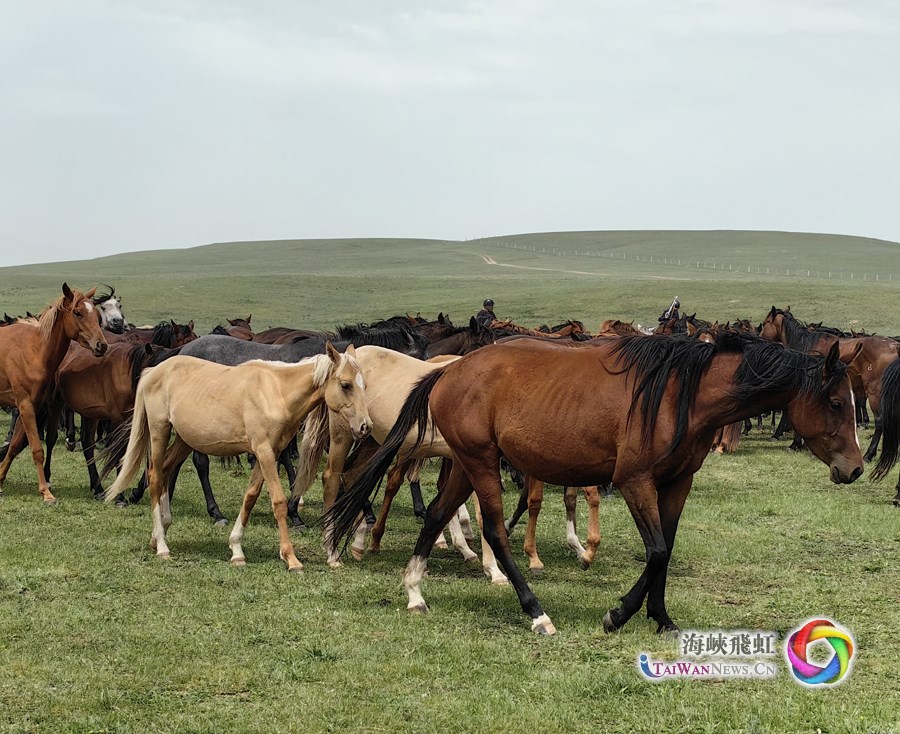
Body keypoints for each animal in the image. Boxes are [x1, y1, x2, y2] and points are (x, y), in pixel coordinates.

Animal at [0, 284, 108, 506]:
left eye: (97, 315)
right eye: (77, 312)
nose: (101, 345)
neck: (33, 350)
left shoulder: (33, 405)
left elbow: (15, 446)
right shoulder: (25, 405)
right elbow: (37, 450)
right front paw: (46, 493)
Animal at [105, 346, 370, 576]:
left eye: (364, 385)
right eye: (345, 385)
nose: (365, 426)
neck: (277, 392)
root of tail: (154, 371)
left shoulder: (270, 453)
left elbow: (250, 497)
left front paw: (237, 549)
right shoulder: (264, 451)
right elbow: (279, 502)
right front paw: (291, 558)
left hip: (183, 440)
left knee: (167, 472)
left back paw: (158, 533)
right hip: (159, 431)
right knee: (155, 476)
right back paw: (161, 544)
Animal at [326, 334, 860, 640]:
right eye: (836, 402)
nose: (854, 469)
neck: (677, 394)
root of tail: (448, 370)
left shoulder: (676, 484)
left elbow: (665, 549)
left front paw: (661, 618)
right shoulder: (635, 481)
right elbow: (657, 550)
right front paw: (618, 614)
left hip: (463, 462)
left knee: (438, 514)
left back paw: (415, 592)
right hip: (480, 463)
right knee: (494, 530)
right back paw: (536, 613)